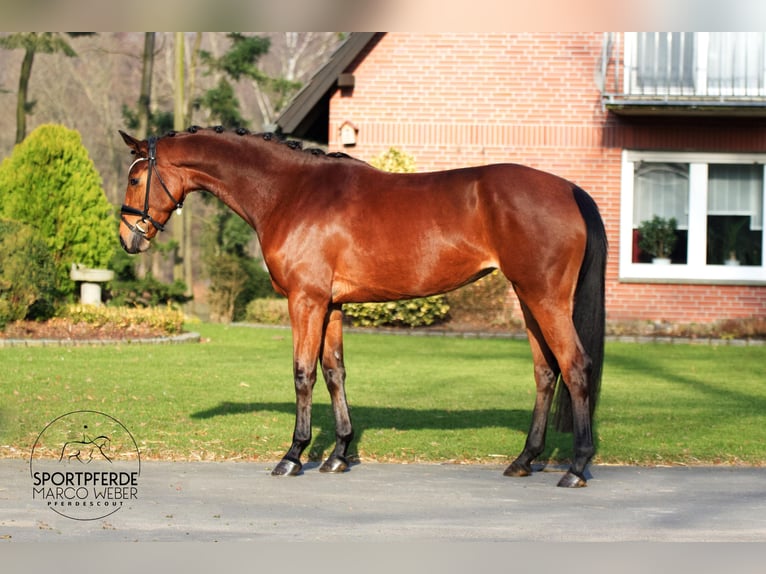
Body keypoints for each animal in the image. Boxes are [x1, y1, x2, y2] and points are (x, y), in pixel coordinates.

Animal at [117, 128, 608, 488]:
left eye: (136, 179)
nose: (127, 238)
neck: (291, 192)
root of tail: (569, 189)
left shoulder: (305, 300)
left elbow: (303, 374)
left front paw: (293, 455)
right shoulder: (331, 304)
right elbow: (334, 372)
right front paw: (338, 454)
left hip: (544, 298)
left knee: (575, 366)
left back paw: (575, 467)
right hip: (527, 299)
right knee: (546, 372)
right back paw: (525, 459)